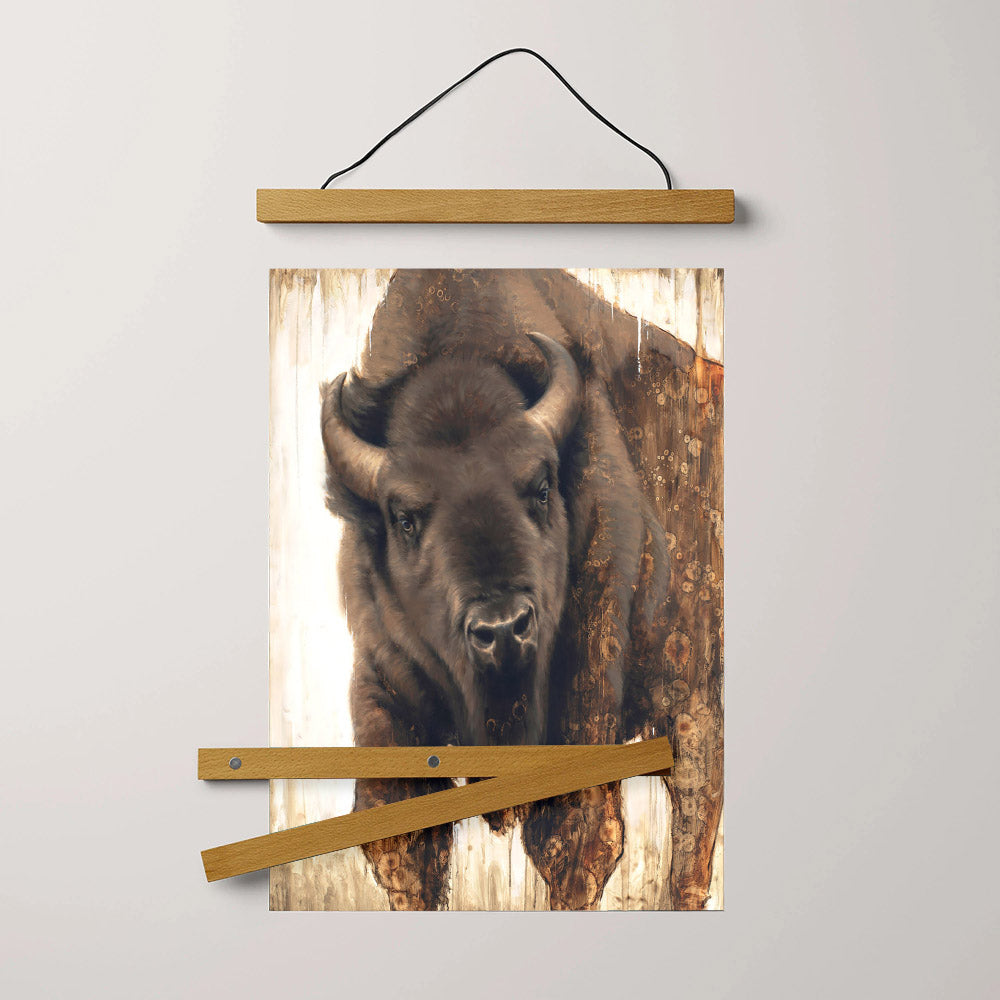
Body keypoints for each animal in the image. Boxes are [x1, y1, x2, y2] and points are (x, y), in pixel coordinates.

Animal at [321, 269, 723, 910]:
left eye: (540, 487)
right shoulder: (384, 677)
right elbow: (402, 845)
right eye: (403, 518)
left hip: (694, 698)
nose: (503, 629)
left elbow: (576, 840)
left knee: (694, 814)